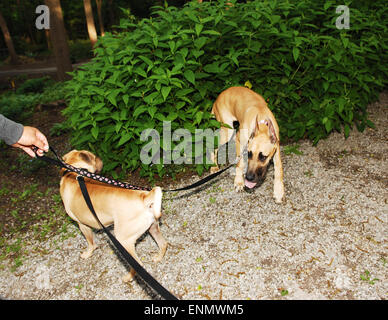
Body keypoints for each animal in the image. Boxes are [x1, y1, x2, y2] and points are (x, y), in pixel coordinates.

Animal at [59, 149, 167, 282]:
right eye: (94, 156)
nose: (100, 159)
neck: (74, 172)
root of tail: (145, 197)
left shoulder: (82, 225)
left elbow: (90, 243)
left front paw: (88, 253)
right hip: (153, 227)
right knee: (163, 244)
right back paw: (158, 258)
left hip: (123, 240)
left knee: (138, 264)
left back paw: (128, 277)